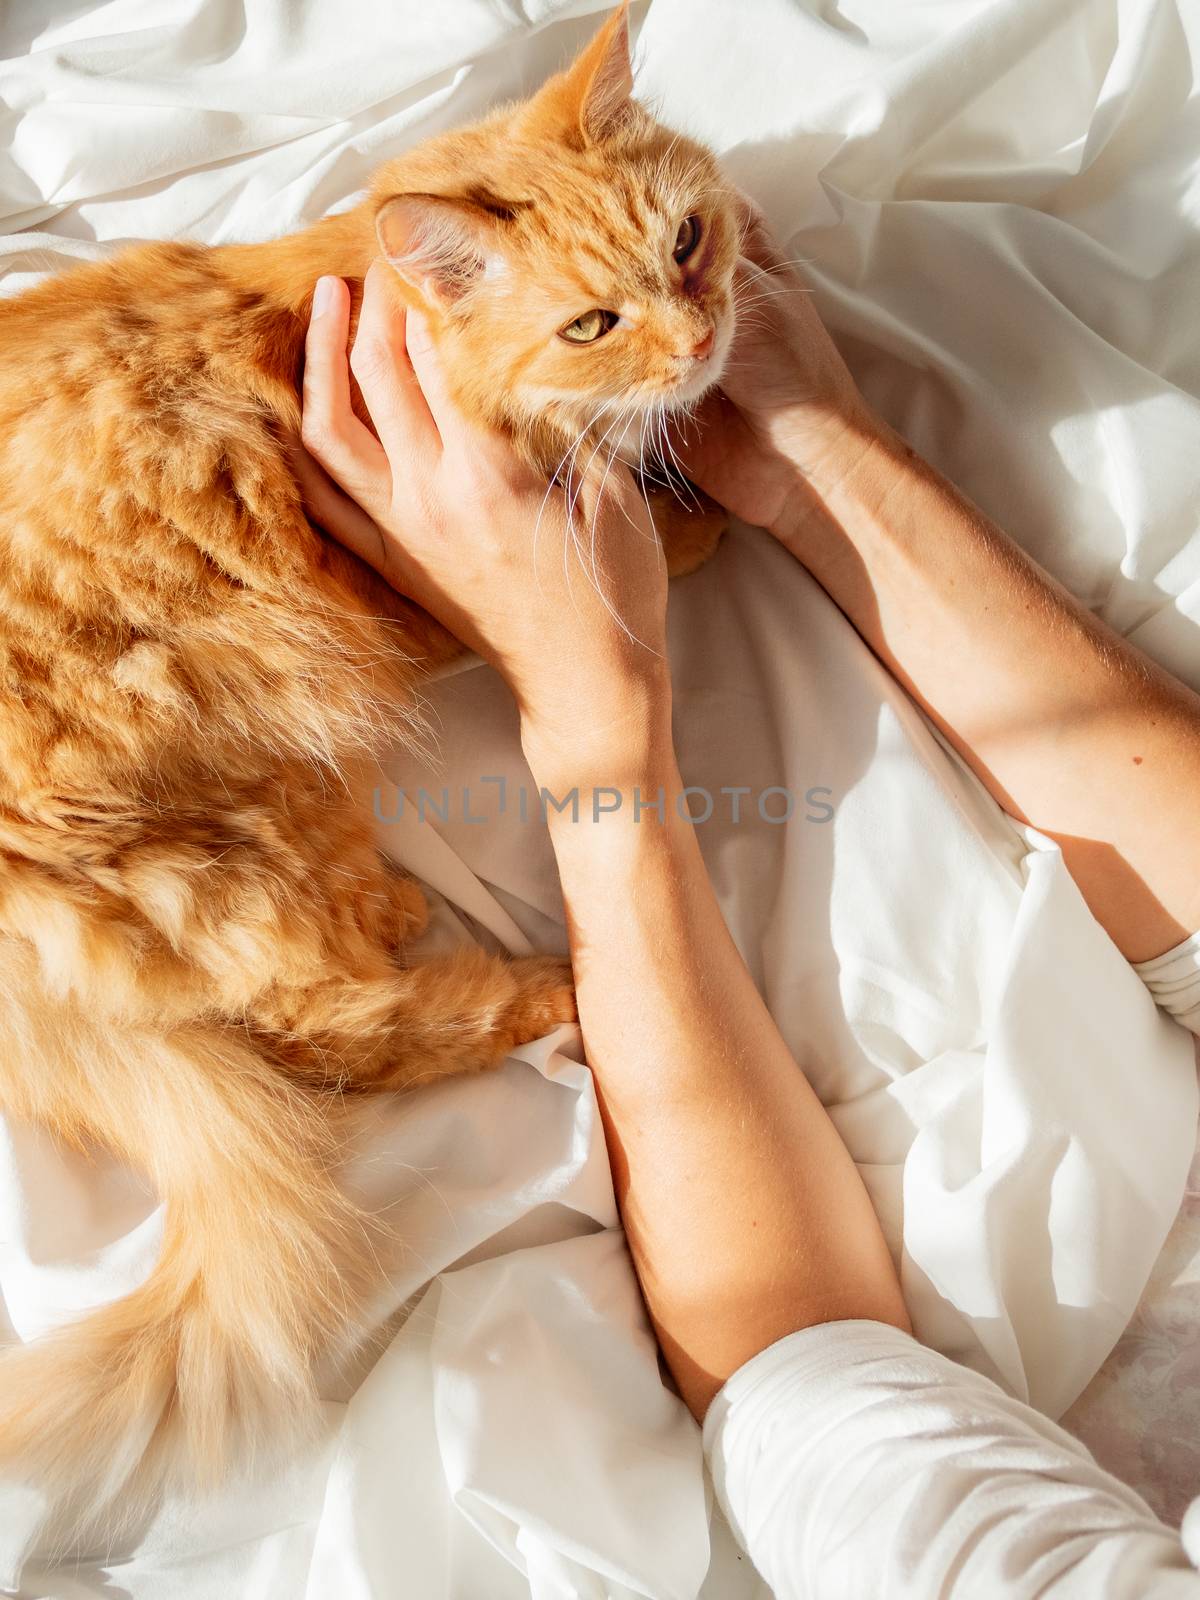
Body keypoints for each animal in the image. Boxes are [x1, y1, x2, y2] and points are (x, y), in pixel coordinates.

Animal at [0, 3, 739, 1548]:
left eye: (691, 243)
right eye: (593, 324)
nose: (704, 333)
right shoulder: (432, 588)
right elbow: (641, 545)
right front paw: (684, 514)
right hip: (255, 805)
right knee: (324, 1026)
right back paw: (527, 987)